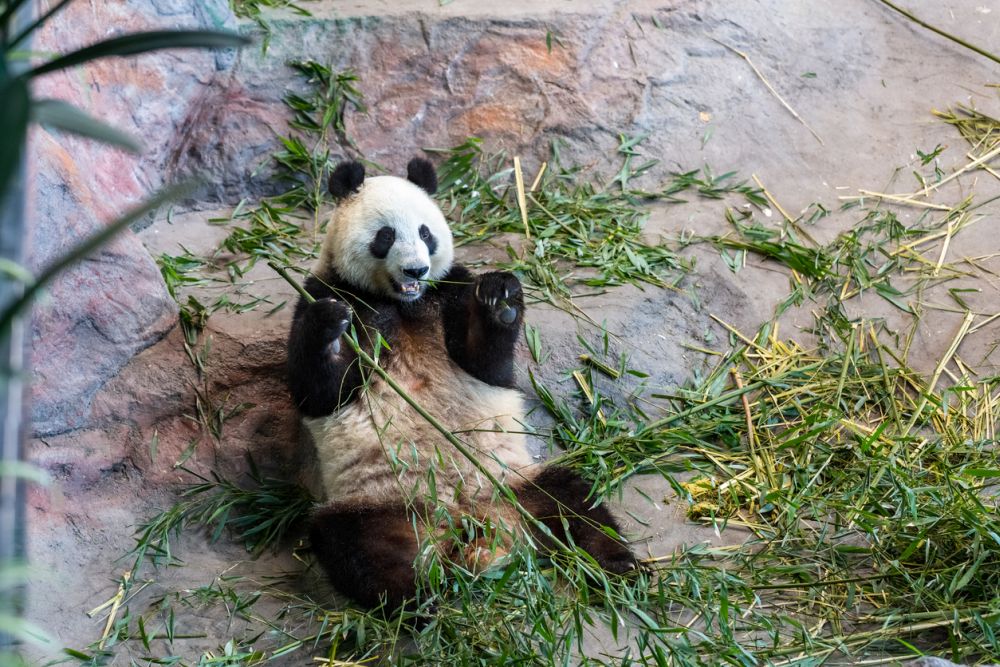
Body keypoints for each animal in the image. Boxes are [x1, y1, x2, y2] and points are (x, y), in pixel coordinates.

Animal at [286, 158, 636, 612]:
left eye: (425, 233)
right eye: (385, 236)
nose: (416, 269)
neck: (403, 303)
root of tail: (474, 526)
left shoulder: (450, 289)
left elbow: (489, 365)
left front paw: (501, 300)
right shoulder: (331, 290)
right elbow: (321, 391)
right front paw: (329, 323)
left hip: (515, 482)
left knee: (574, 503)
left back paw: (619, 567)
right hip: (379, 505)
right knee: (357, 549)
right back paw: (421, 602)